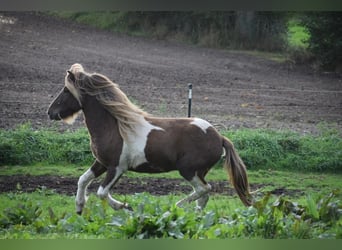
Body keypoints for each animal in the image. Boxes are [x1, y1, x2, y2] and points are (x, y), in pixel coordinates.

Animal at [46, 63, 252, 214]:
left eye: (66, 90)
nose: (50, 112)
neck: (115, 127)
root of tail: (220, 137)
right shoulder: (102, 162)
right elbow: (82, 180)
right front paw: (79, 207)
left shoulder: (117, 167)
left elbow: (102, 192)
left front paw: (125, 207)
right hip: (199, 172)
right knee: (203, 195)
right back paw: (194, 215)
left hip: (188, 170)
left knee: (204, 189)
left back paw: (176, 207)